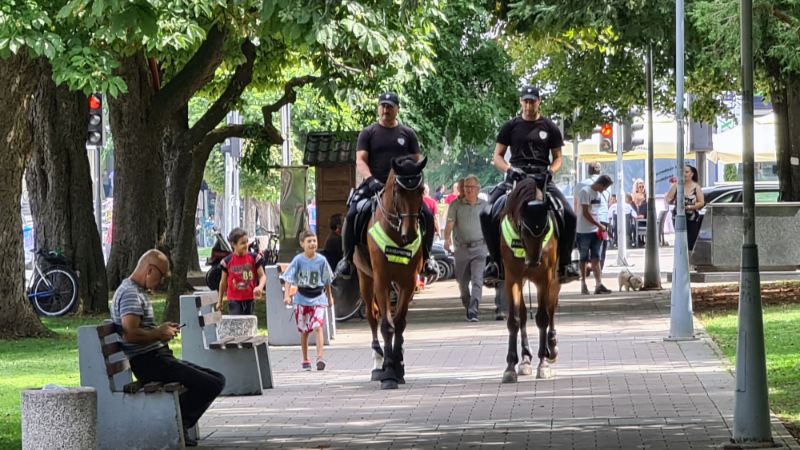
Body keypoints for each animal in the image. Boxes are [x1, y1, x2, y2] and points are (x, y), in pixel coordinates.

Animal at [352, 155, 424, 390]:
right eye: (398, 191)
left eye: (420, 190)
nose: (410, 234)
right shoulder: (381, 281)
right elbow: (386, 325)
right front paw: (389, 372)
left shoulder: (408, 283)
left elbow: (399, 323)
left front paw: (398, 367)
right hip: (366, 281)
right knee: (372, 316)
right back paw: (378, 362)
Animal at [500, 174, 564, 382]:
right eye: (523, 228)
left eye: (545, 230)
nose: (533, 262)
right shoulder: (512, 278)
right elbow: (514, 320)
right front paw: (510, 367)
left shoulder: (545, 278)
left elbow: (543, 318)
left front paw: (543, 363)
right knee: (522, 316)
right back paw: (525, 359)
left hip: (554, 281)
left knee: (551, 309)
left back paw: (552, 348)